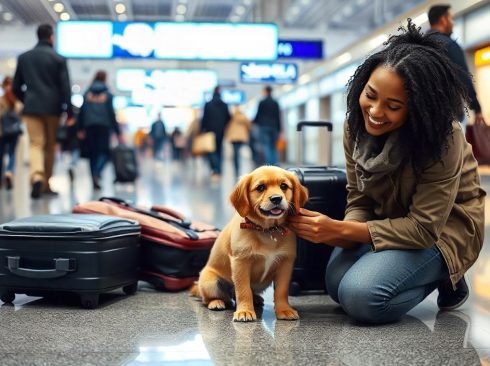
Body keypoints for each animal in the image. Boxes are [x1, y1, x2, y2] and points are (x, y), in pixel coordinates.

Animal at [190, 164, 306, 322]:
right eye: (260, 188)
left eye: (284, 186)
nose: (276, 198)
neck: (267, 230)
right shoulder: (241, 262)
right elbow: (243, 290)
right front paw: (245, 311)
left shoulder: (285, 263)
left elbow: (281, 290)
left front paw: (284, 309)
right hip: (210, 282)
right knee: (211, 298)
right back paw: (216, 302)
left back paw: (256, 299)